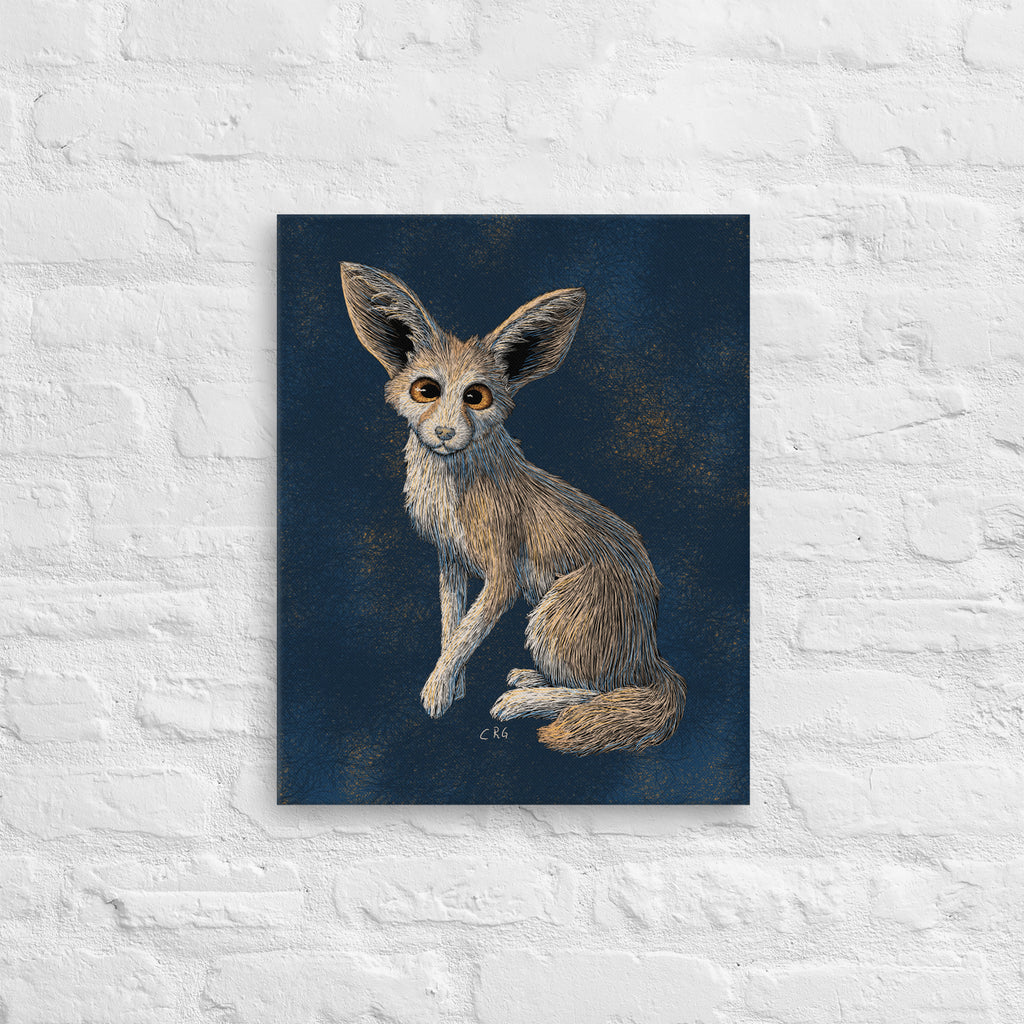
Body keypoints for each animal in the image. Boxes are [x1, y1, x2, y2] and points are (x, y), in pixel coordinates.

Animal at [339, 262, 686, 755]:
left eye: (476, 397)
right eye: (425, 390)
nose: (444, 433)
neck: (456, 486)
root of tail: (651, 653)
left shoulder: (503, 577)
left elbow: (466, 634)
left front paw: (436, 693)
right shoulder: (450, 560)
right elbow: (452, 628)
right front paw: (453, 685)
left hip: (552, 615)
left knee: (604, 692)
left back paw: (522, 703)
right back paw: (529, 680)